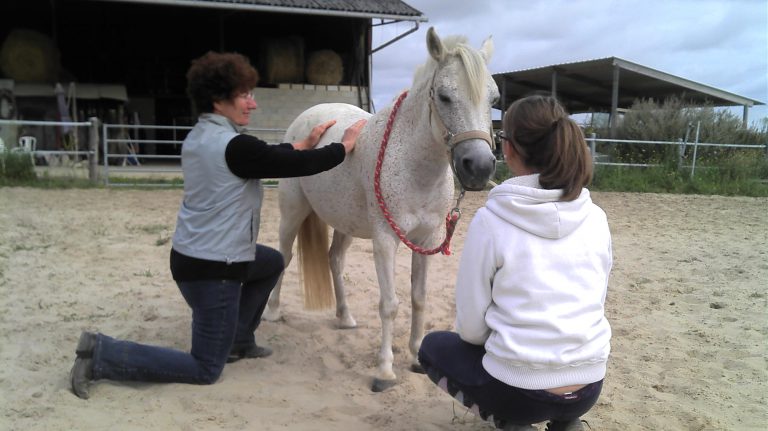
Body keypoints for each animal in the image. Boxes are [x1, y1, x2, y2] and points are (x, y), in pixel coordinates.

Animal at [263, 27, 500, 391]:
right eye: (444, 97)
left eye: (494, 100)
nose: (479, 167)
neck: (415, 166)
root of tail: (308, 116)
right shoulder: (386, 239)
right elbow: (389, 304)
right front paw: (385, 371)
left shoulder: (428, 239)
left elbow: (418, 297)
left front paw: (416, 357)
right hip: (292, 212)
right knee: (285, 256)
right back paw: (273, 312)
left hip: (344, 222)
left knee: (335, 260)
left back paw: (345, 317)